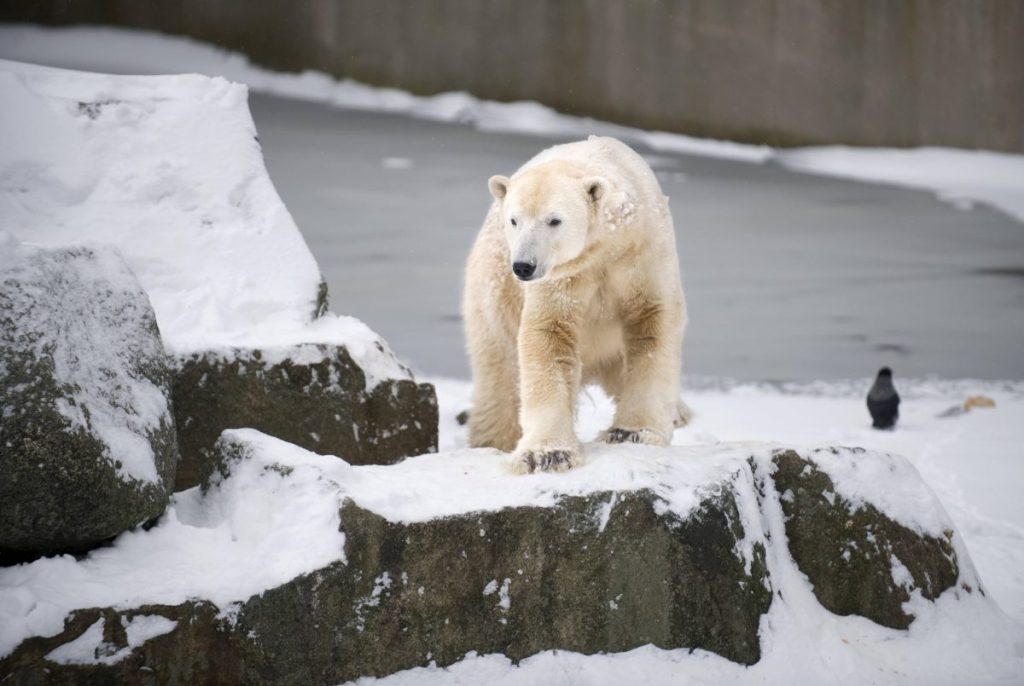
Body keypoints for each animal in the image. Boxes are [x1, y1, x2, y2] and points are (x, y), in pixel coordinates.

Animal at [462, 137, 688, 475]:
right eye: (514, 219)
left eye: (554, 220)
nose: (523, 266)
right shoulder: (563, 277)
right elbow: (549, 335)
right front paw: (546, 454)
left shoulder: (642, 253)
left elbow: (650, 323)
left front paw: (632, 432)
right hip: (494, 294)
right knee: (499, 372)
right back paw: (492, 439)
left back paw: (679, 412)